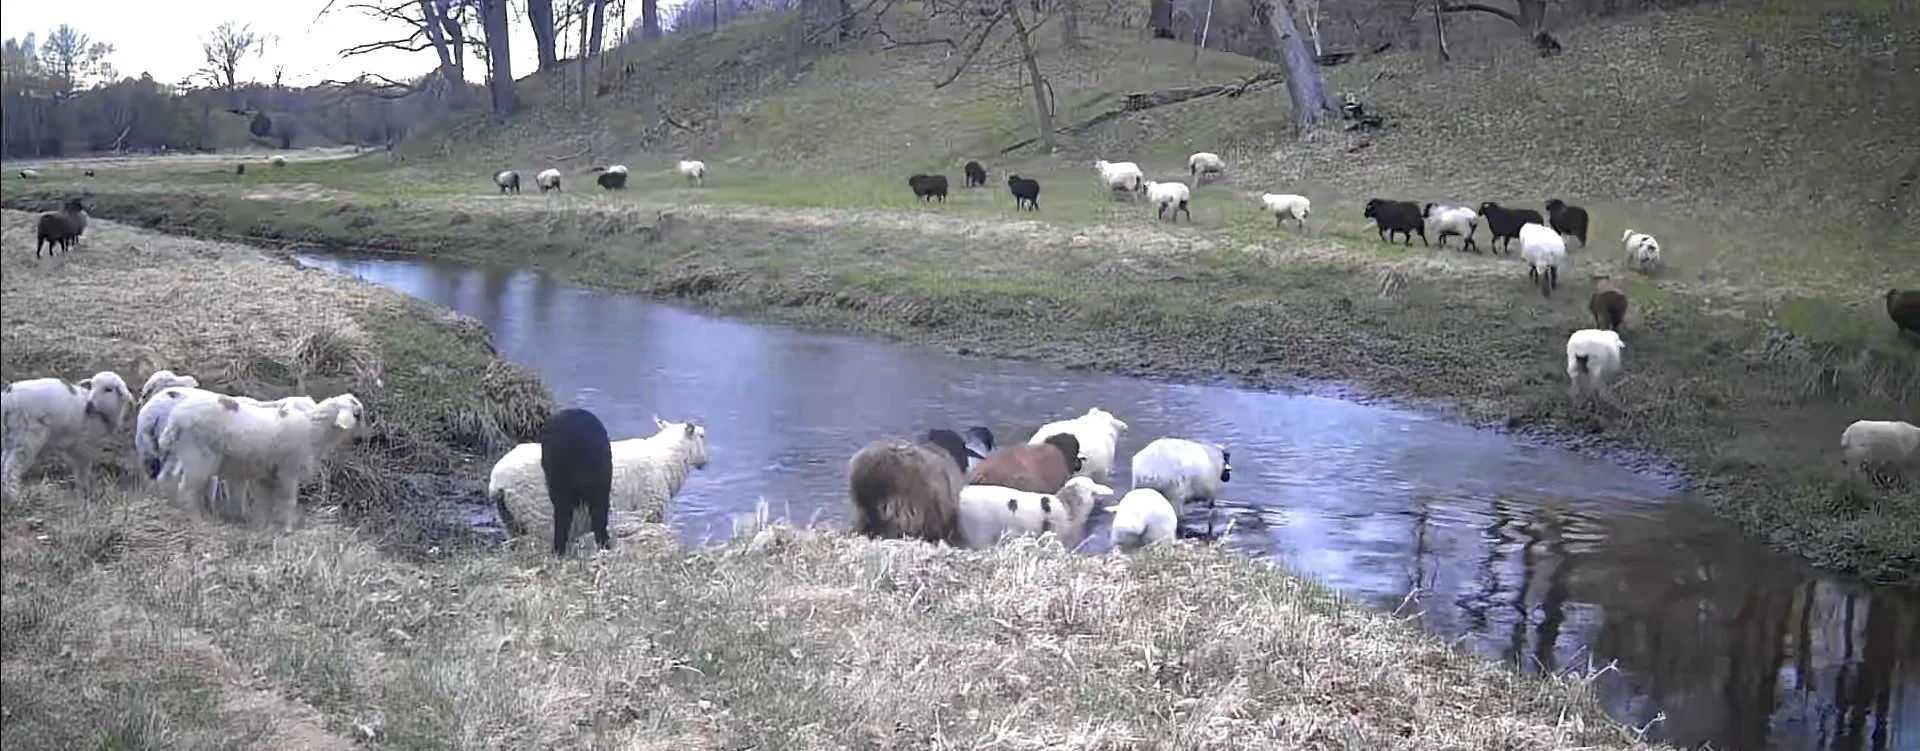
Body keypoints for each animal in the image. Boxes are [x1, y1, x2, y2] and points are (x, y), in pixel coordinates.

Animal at [1, 371, 135, 496]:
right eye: (91, 386)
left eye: (109, 389)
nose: (89, 404)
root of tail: (8, 395)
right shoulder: (85, 445)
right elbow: (82, 470)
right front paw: (85, 493)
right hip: (26, 438)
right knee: (11, 468)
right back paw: (14, 495)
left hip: (10, 437)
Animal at [156, 393, 363, 530]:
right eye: (357, 413)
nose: (362, 438)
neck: (315, 429)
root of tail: (175, 417)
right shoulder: (289, 471)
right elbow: (288, 501)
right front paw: (286, 530)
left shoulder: (268, 474)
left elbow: (265, 504)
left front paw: (264, 527)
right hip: (198, 456)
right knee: (186, 489)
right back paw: (197, 521)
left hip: (181, 454)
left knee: (168, 479)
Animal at [491, 417, 711, 544]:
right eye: (702, 436)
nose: (705, 462)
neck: (666, 459)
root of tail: (498, 481)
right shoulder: (648, 509)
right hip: (539, 515)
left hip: (511, 519)